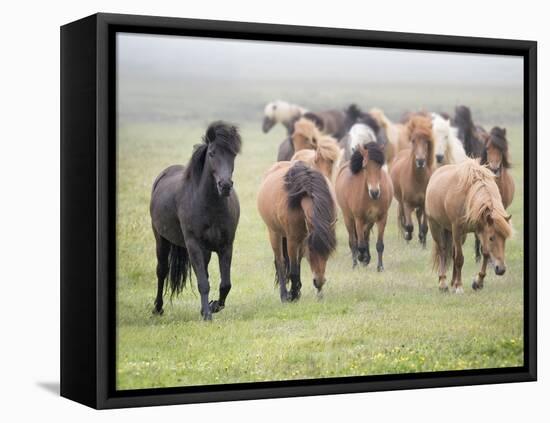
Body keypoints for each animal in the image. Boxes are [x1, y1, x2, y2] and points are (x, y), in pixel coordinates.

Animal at [150, 121, 243, 320]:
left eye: (233, 154)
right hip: (161, 239)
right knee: (162, 271)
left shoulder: (225, 246)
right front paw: (207, 314)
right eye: (212, 153)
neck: (209, 204)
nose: (225, 185)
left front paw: (213, 306)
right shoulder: (194, 245)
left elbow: (225, 284)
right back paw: (158, 308)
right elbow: (203, 283)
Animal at [260, 161, 340, 302]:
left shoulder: (302, 241)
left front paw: (301, 292)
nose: (319, 282)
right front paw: (292, 295)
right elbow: (293, 270)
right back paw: (284, 295)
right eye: (311, 250)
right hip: (275, 234)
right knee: (280, 262)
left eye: (328, 251)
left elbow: (297, 266)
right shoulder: (292, 240)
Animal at [334, 141, 394, 270]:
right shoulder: (359, 219)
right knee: (353, 241)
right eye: (365, 167)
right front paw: (361, 257)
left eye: (380, 166)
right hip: (348, 218)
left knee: (366, 236)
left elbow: (379, 244)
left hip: (370, 220)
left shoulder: (382, 218)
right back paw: (356, 263)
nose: (375, 192)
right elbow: (359, 244)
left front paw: (380, 267)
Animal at [390, 116, 438, 248]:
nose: (420, 161)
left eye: (427, 141)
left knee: (418, 216)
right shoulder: (407, 203)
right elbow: (409, 226)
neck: (418, 179)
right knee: (404, 219)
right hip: (402, 202)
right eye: (413, 141)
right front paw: (408, 236)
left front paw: (423, 243)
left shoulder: (424, 204)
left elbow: (425, 226)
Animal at [426, 160, 512, 294]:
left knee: (452, 253)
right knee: (442, 251)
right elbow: (459, 259)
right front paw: (459, 287)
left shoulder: (479, 229)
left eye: (504, 238)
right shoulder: (457, 229)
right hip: (435, 226)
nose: (501, 269)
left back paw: (452, 283)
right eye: (492, 238)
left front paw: (478, 282)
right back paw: (443, 283)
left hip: (460, 235)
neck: (469, 196)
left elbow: (485, 253)